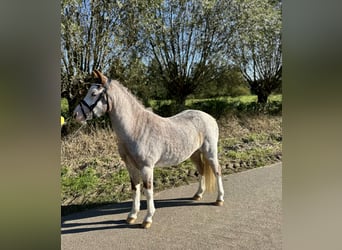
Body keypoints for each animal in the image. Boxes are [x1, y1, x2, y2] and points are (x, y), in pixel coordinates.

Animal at [73, 70, 224, 229]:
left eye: (94, 93)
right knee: (201, 171)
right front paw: (132, 216)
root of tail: (209, 117)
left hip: (210, 152)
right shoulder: (131, 166)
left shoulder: (146, 167)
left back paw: (219, 199)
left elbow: (148, 190)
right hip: (194, 154)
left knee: (217, 171)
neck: (136, 128)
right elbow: (135, 188)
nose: (76, 115)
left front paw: (147, 219)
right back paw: (198, 195)